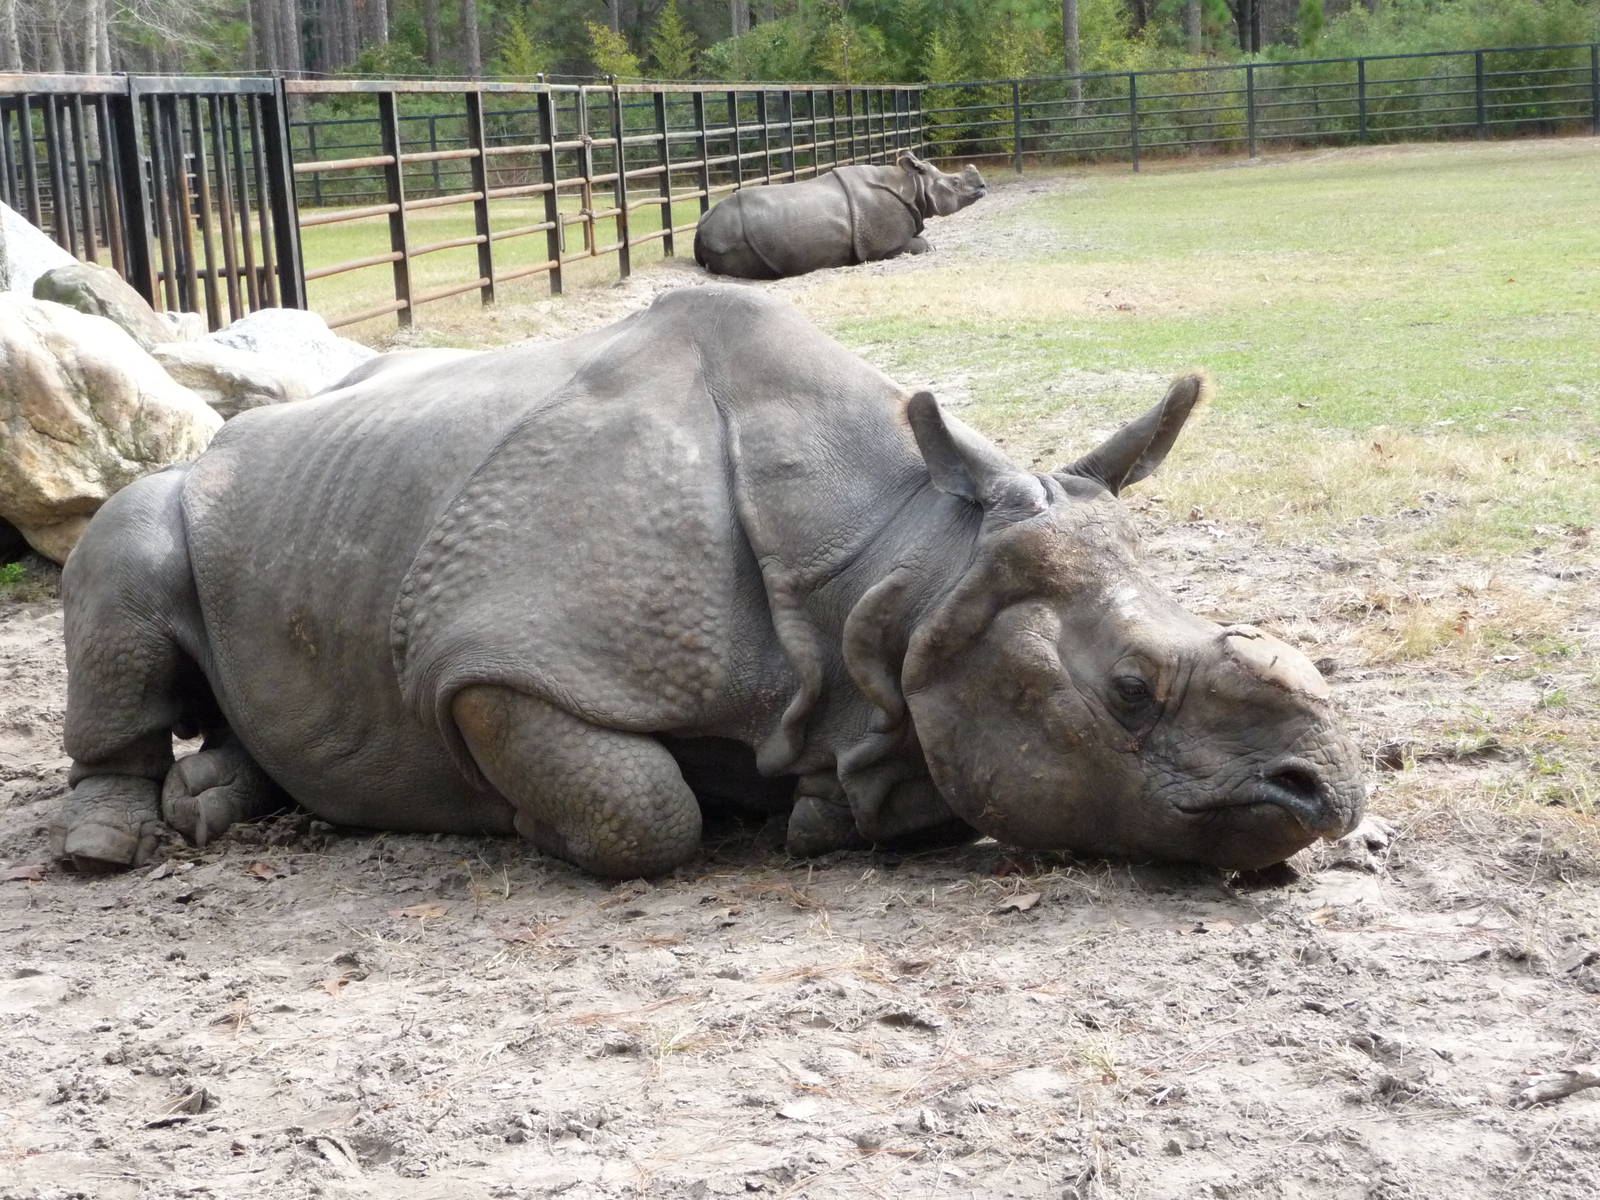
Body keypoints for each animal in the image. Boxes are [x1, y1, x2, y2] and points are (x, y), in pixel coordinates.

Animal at [53, 287, 1365, 880]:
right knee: (125, 552)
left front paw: (815, 812)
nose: (1327, 797)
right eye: (1130, 692)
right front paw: (531, 822)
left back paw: (215, 800)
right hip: (178, 486)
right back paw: (110, 847)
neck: (902, 563)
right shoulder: (493, 662)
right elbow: (645, 811)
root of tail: (236, 433)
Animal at [693, 154, 987, 279]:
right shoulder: (880, 246)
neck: (914, 187)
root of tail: (701, 225)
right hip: (729, 233)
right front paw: (930, 246)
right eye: (956, 183)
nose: (983, 187)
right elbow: (922, 244)